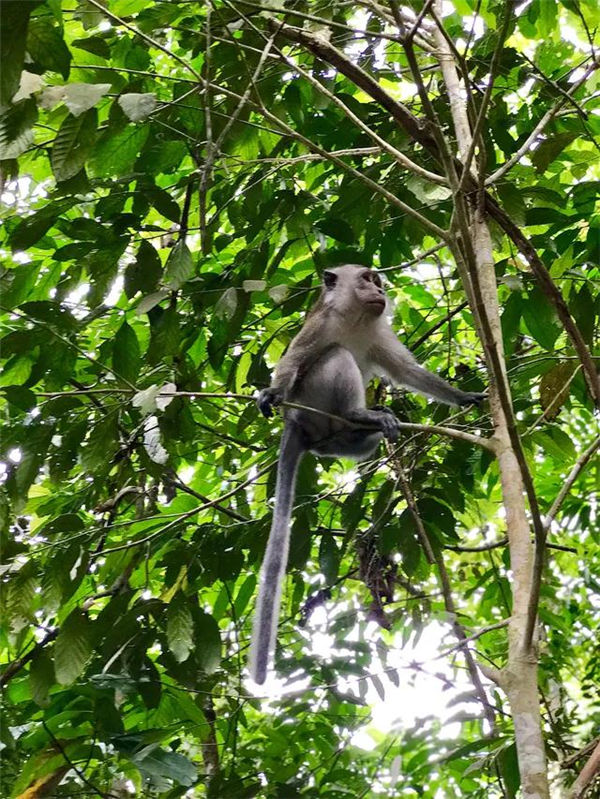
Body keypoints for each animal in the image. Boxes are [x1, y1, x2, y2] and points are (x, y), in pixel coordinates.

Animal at [248, 266, 482, 684]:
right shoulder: (320, 324)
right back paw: (360, 413)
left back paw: (367, 426)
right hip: (310, 403)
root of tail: (301, 429)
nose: (380, 291)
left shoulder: (378, 332)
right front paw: (271, 392)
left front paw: (462, 396)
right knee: (336, 356)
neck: (355, 318)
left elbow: (406, 371)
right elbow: (293, 361)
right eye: (367, 279)